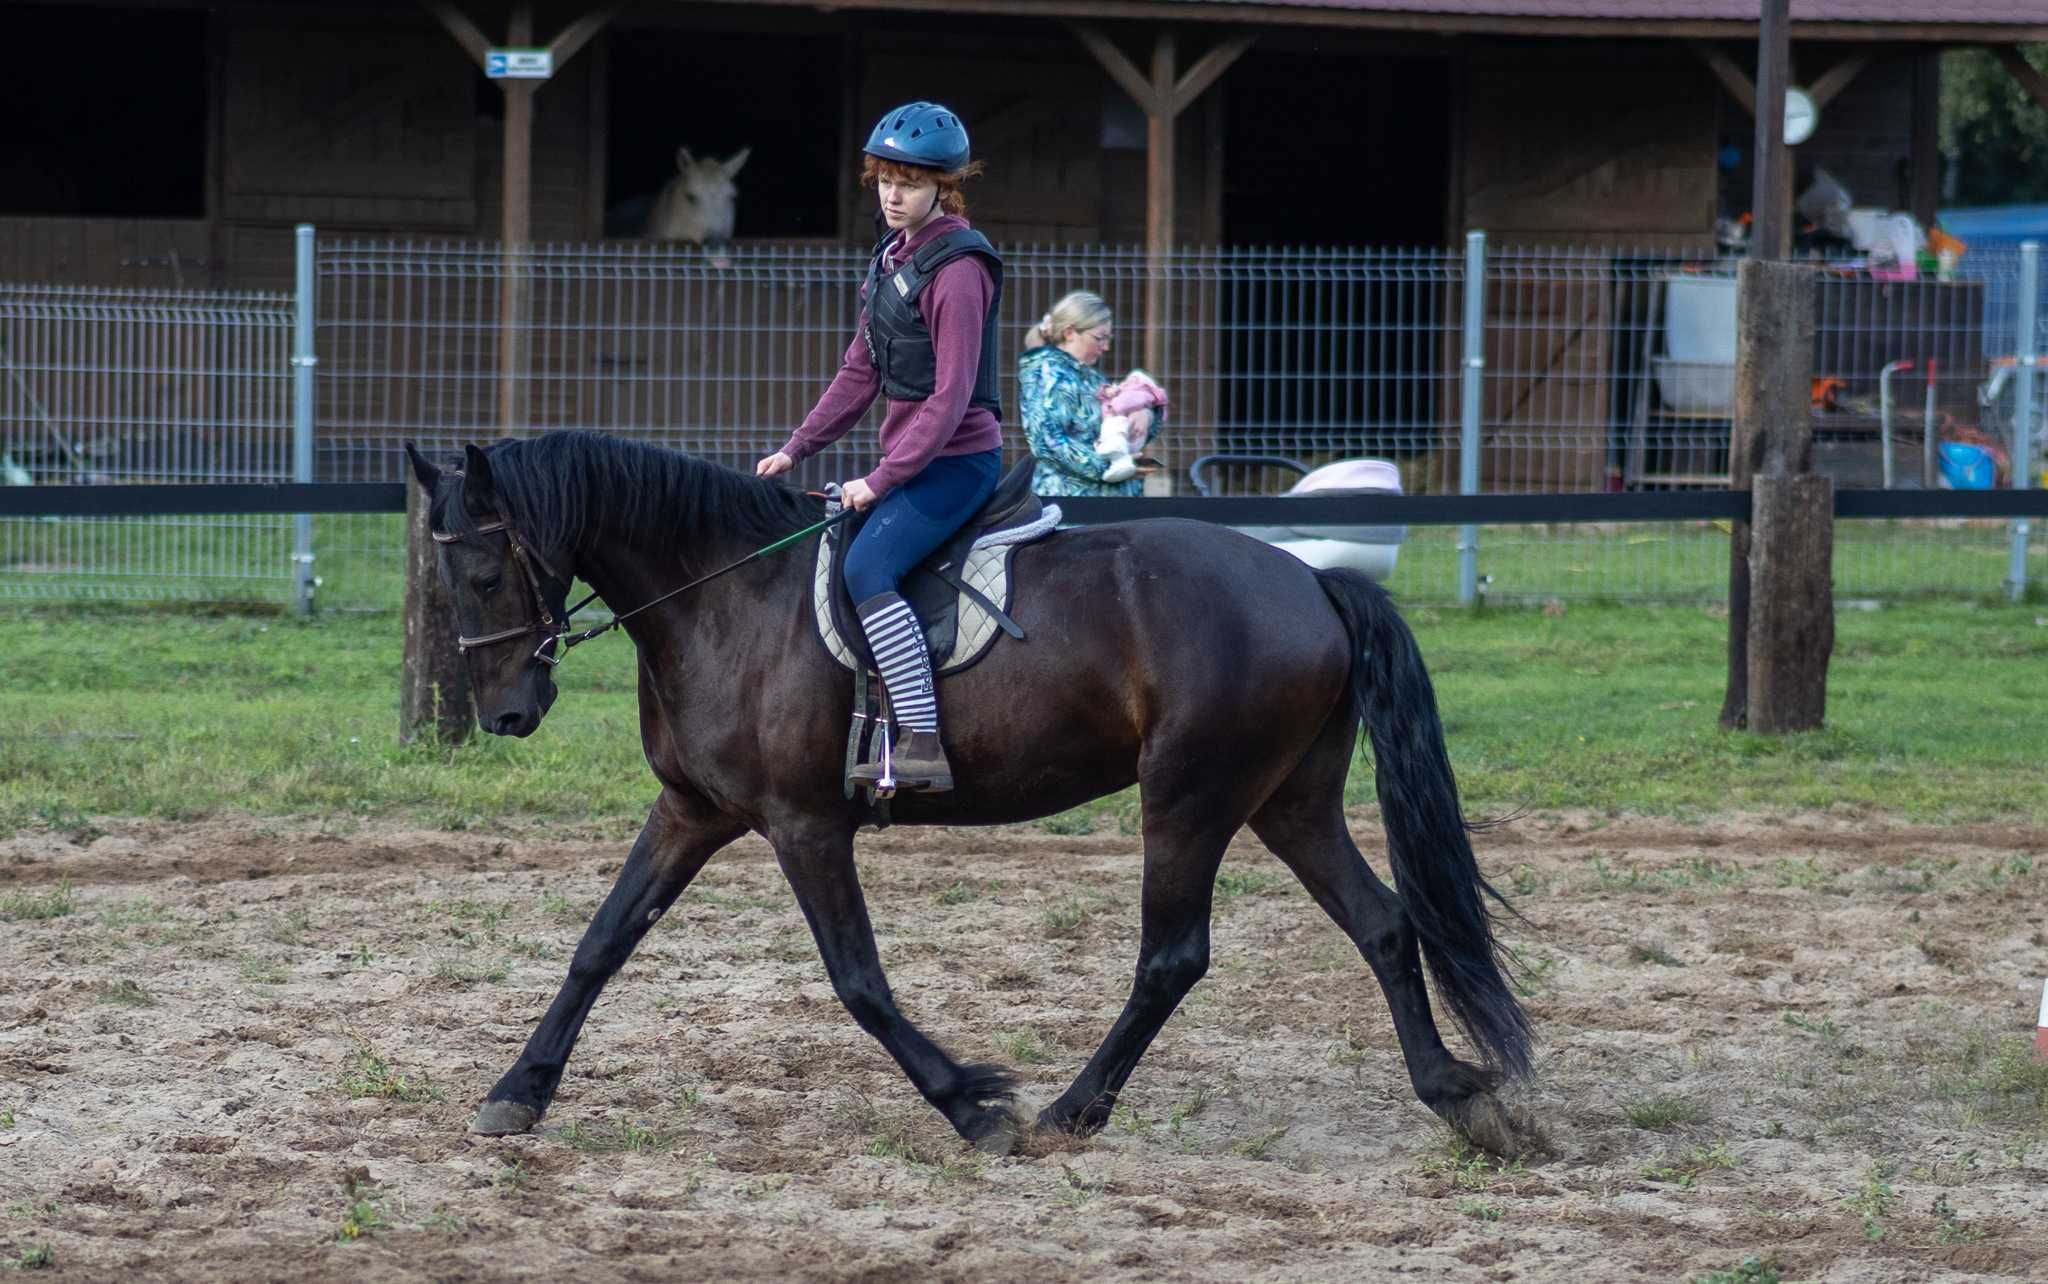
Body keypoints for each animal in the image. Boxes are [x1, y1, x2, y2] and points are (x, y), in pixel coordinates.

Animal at [403, 430, 1540, 1154]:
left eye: (487, 575)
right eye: (453, 578)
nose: (507, 715)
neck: (727, 598)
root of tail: (1310, 581)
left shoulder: (803, 827)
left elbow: (858, 980)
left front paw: (971, 1105)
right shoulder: (694, 812)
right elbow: (599, 944)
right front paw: (515, 1095)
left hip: (1189, 797)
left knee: (1173, 956)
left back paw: (1068, 1113)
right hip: (1286, 801)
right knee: (1383, 925)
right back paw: (1459, 1098)